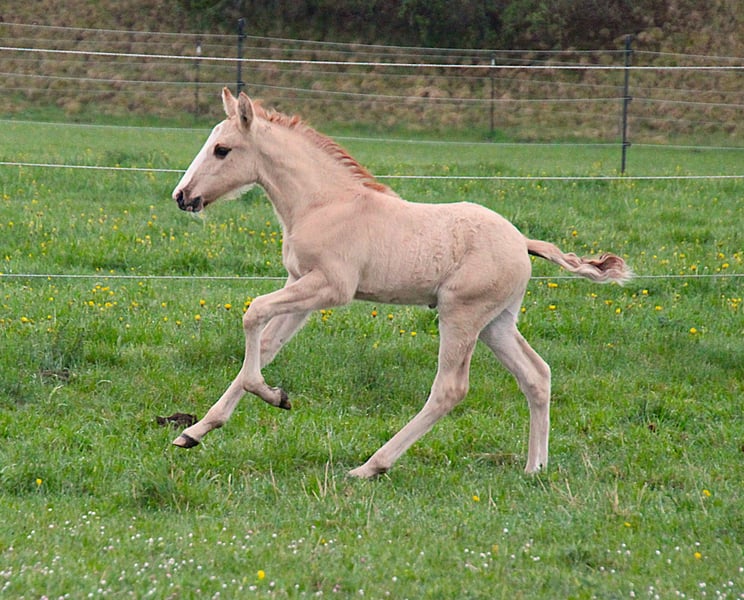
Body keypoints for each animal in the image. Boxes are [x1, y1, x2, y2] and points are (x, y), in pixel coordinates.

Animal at [171, 87, 632, 478]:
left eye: (222, 150)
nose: (182, 196)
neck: (324, 203)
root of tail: (522, 241)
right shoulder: (302, 285)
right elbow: (266, 345)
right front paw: (194, 432)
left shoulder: (331, 288)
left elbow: (253, 315)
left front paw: (274, 397)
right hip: (496, 322)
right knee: (536, 375)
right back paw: (535, 467)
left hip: (461, 314)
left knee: (450, 389)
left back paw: (370, 467)